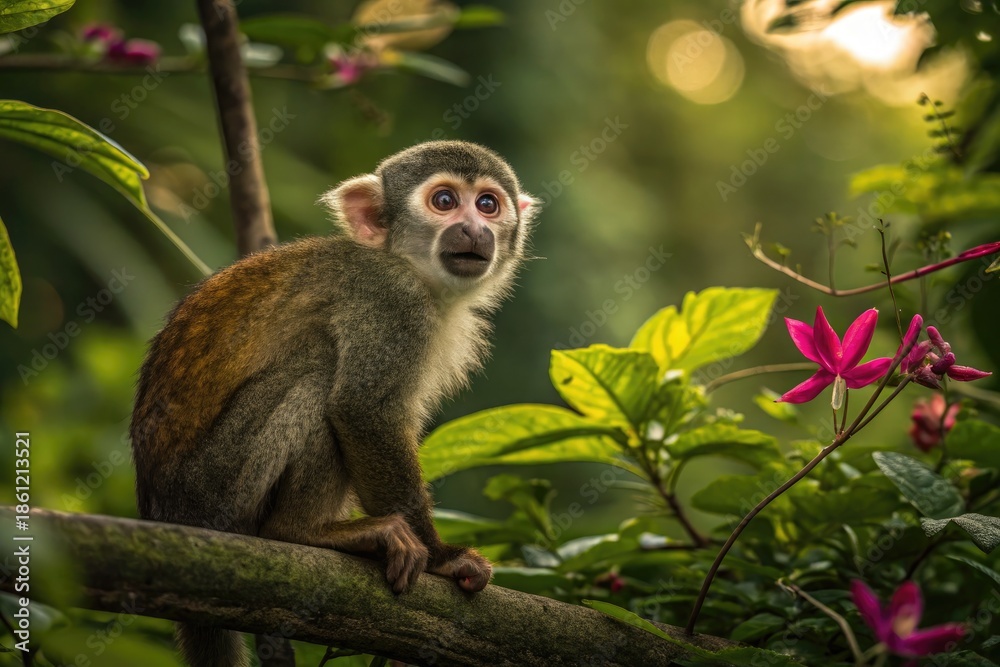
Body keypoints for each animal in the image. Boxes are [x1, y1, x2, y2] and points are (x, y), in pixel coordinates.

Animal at [129, 141, 540, 667]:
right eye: (445, 201)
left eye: (487, 204)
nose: (473, 228)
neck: (407, 266)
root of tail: (159, 511)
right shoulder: (391, 303)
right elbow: (362, 412)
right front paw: (443, 558)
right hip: (211, 491)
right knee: (318, 375)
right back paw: (300, 531)